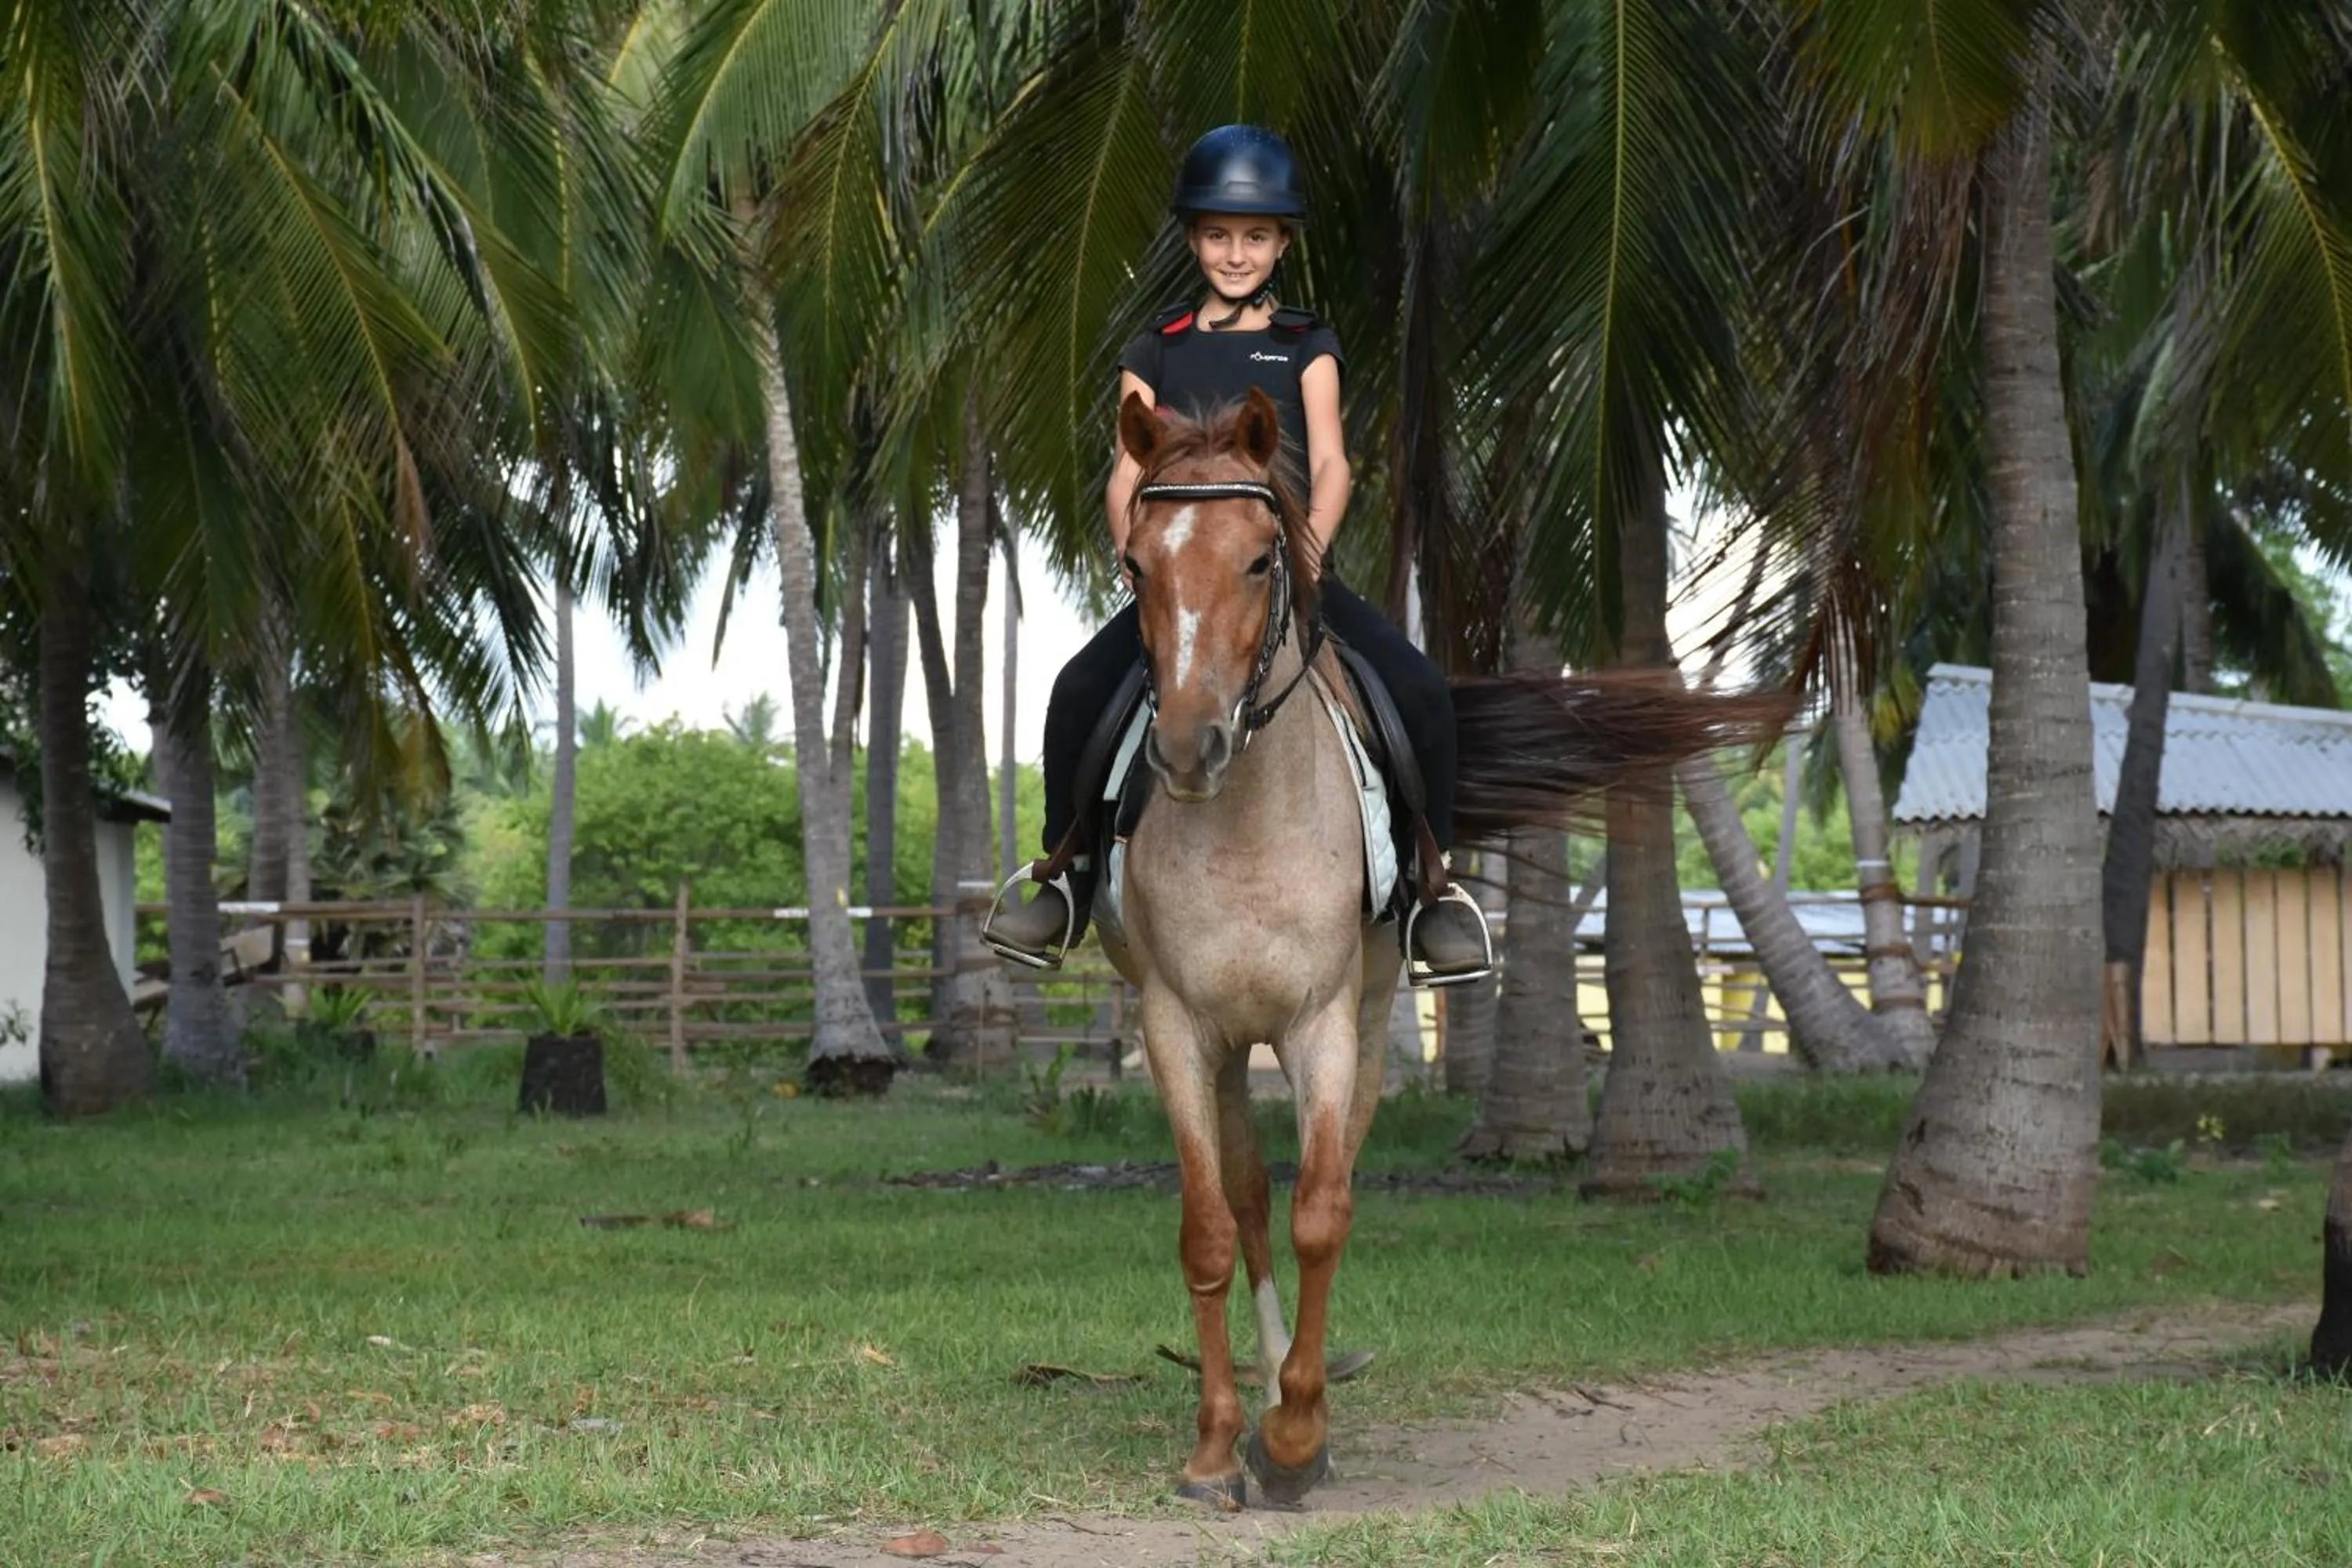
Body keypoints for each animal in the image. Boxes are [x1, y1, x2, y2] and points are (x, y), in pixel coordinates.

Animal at [1090, 386, 1786, 1510]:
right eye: (1136, 563)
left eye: (1259, 559)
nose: (1190, 748)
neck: (1245, 825)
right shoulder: (1176, 1027)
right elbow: (1209, 1226)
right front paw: (1217, 1445)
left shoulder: (1326, 1025)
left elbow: (1324, 1213)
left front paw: (1297, 1439)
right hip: (1232, 1045)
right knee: (1246, 1199)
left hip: (1367, 1023)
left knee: (1315, 1187)